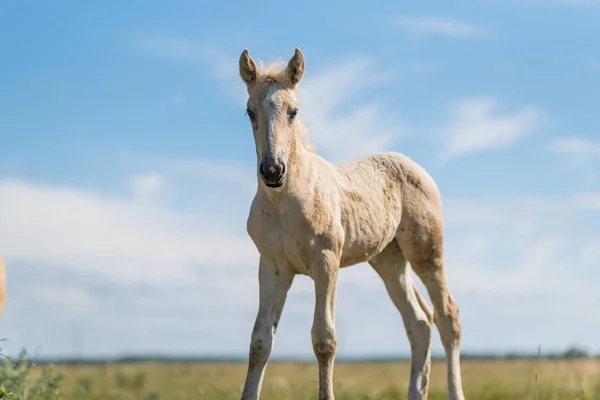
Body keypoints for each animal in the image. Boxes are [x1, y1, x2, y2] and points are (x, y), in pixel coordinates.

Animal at [238, 47, 464, 400]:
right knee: (419, 323)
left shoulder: (326, 260)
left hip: (427, 252)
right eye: (250, 112)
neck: (283, 200)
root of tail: (416, 166)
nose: (273, 171)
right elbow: (260, 342)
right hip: (389, 260)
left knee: (447, 317)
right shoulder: (272, 267)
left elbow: (324, 339)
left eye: (293, 112)